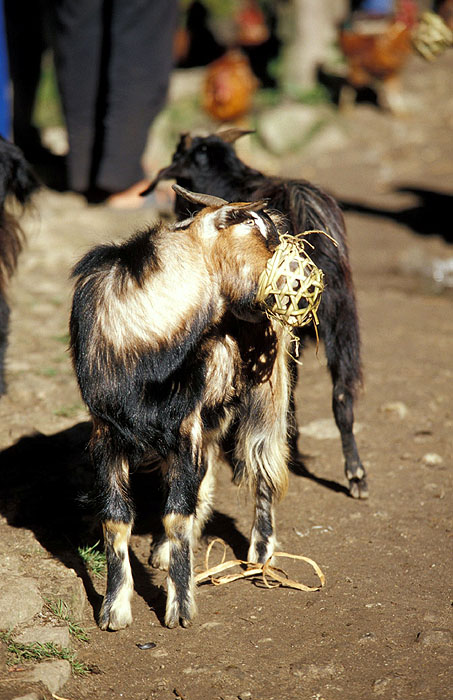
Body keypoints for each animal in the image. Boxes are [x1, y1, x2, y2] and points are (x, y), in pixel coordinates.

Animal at [70, 186, 291, 630]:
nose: (296, 277)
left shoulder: (183, 425)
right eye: (266, 239)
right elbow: (115, 518)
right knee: (206, 469)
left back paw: (261, 553)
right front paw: (114, 610)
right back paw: (164, 550)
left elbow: (176, 514)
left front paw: (180, 607)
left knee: (263, 462)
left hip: (268, 389)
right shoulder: (107, 430)